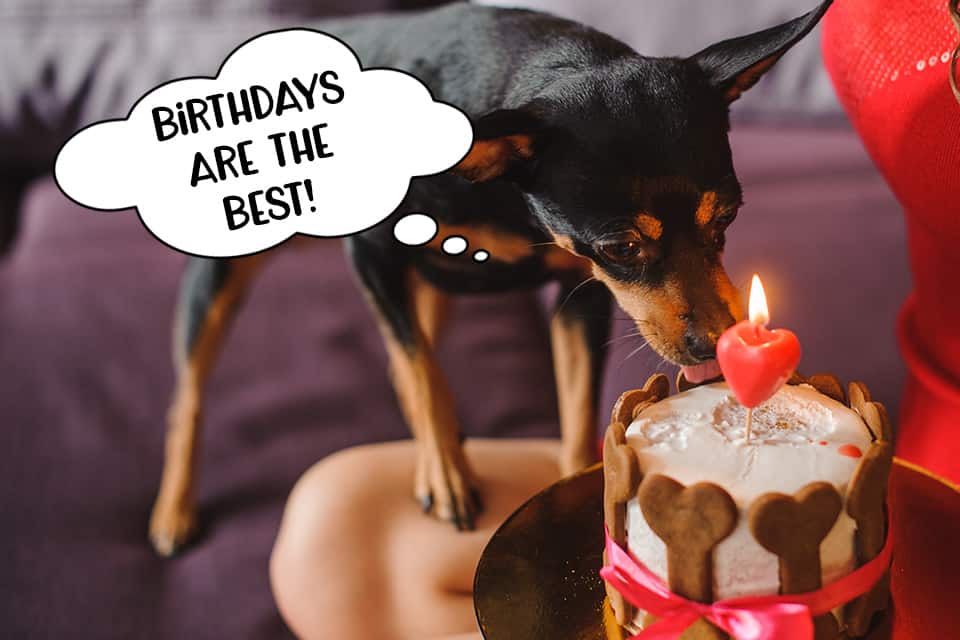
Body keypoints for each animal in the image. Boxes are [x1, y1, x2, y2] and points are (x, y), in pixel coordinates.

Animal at [150, 0, 832, 552]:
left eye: (729, 218)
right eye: (621, 246)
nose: (717, 346)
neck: (504, 188)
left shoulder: (580, 294)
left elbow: (574, 407)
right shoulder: (371, 253)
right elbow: (423, 372)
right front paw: (449, 475)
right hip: (222, 272)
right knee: (192, 393)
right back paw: (173, 509)